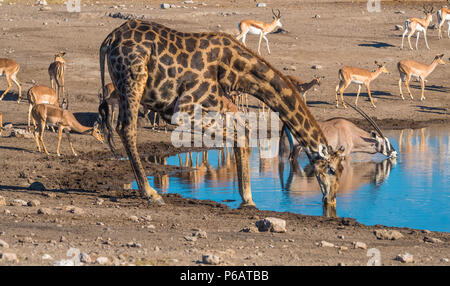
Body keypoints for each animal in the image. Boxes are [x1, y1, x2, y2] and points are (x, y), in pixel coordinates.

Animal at [99, 20, 344, 208]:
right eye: (331, 170)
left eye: (342, 170)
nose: (331, 199)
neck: (235, 69)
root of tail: (108, 40)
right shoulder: (184, 109)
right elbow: (239, 134)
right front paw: (248, 198)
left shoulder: (219, 103)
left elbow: (243, 132)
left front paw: (247, 198)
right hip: (134, 79)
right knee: (127, 128)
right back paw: (151, 193)